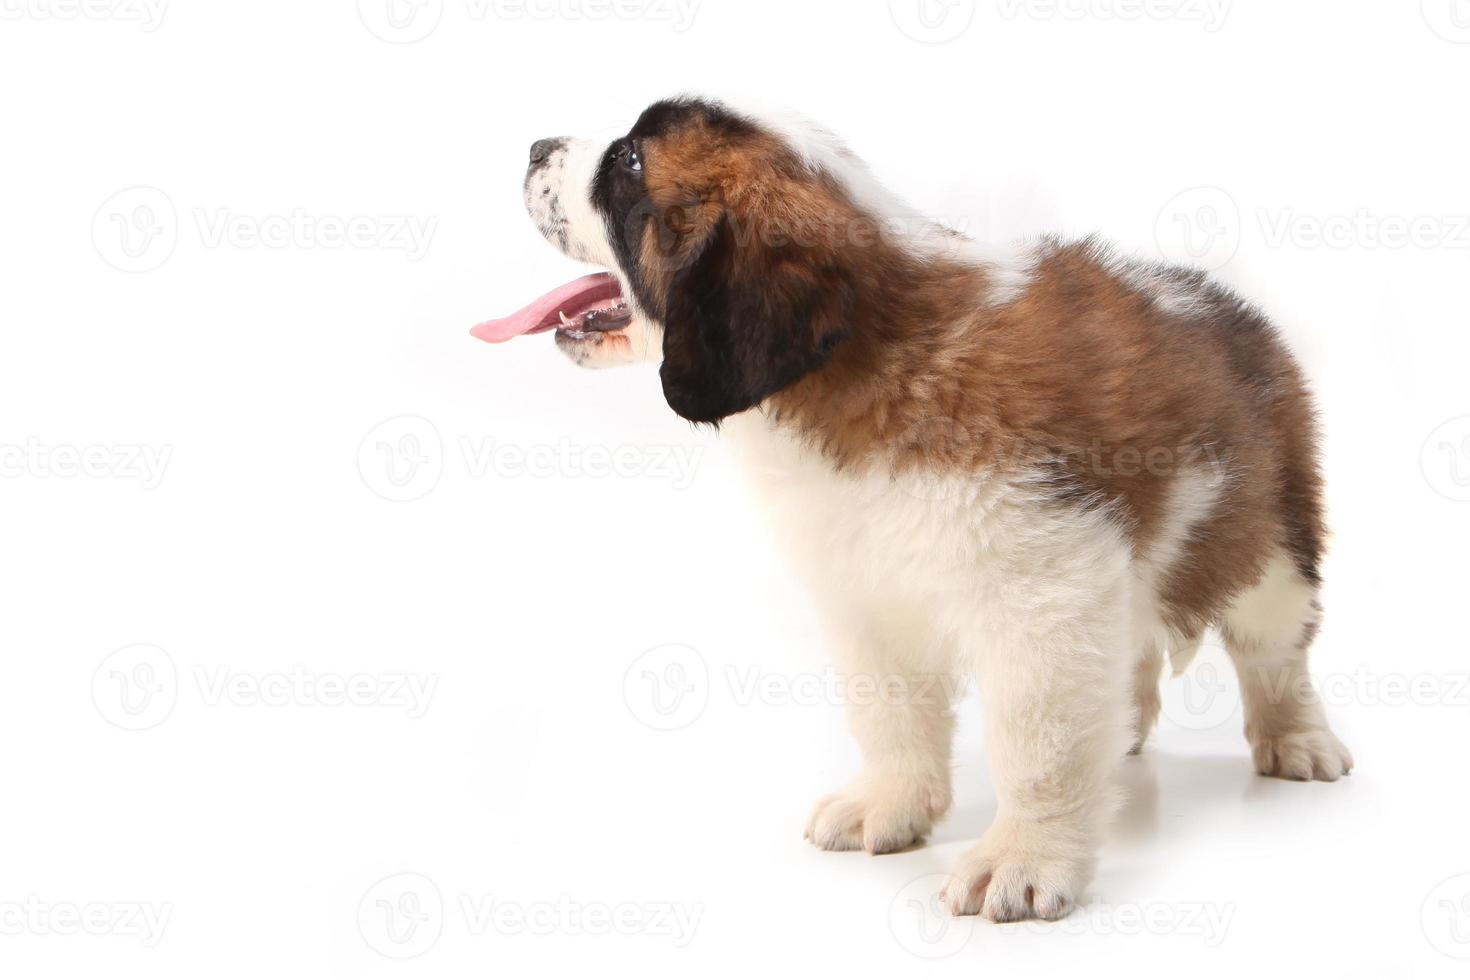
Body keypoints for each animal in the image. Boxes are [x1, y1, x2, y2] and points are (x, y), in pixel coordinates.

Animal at [473, 95, 1352, 922]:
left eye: (626, 164)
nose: (535, 146)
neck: (862, 359)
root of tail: (1233, 306)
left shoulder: (1045, 591)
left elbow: (1036, 741)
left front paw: (1024, 857)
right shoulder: (867, 595)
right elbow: (888, 710)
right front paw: (889, 803)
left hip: (1271, 544)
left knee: (1275, 654)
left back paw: (1297, 740)